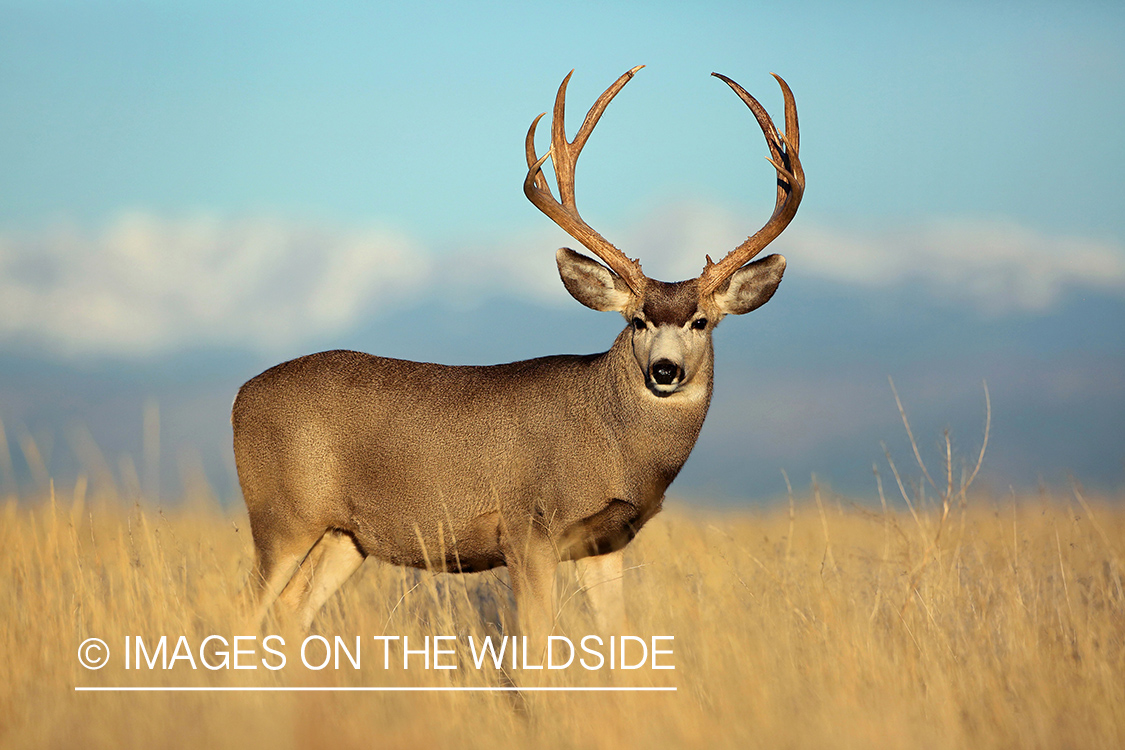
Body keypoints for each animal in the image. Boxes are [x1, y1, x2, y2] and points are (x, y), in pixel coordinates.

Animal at [232, 64, 805, 647]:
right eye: (637, 320)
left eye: (701, 321)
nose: (665, 370)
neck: (613, 445)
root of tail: (240, 396)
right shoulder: (528, 529)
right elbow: (537, 638)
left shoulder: (606, 542)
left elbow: (616, 633)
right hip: (280, 514)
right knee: (245, 606)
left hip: (346, 535)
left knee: (292, 607)